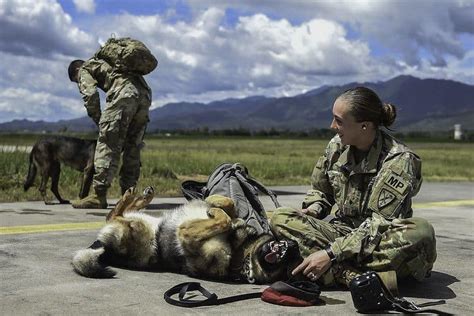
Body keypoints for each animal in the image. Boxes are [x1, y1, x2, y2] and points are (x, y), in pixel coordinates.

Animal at [72, 186, 292, 282]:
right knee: (114, 213)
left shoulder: (186, 232)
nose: (290, 248)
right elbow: (228, 207)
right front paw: (214, 201)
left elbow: (224, 220)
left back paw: (133, 196)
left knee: (114, 215)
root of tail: (103, 247)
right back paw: (140, 195)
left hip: (136, 227)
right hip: (140, 221)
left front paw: (216, 210)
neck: (237, 249)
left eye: (276, 267)